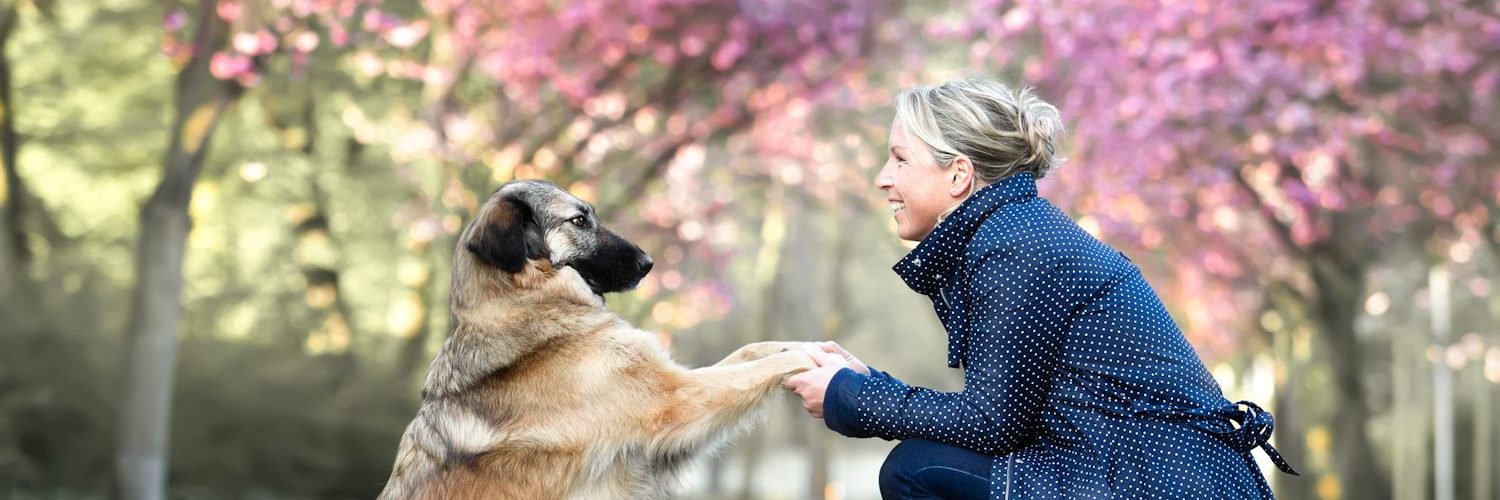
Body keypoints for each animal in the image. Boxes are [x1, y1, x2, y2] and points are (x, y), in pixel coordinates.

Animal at [378, 180, 819, 499]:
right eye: (578, 221)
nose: (648, 263)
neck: (529, 301)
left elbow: (753, 351)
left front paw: (808, 347)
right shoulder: (676, 398)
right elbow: (759, 366)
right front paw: (814, 363)